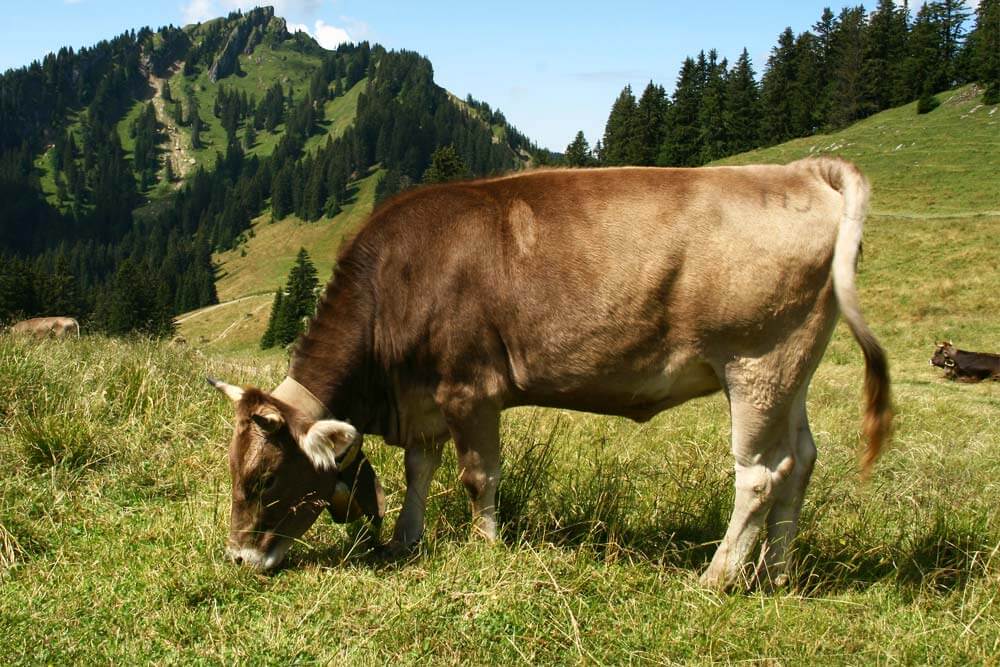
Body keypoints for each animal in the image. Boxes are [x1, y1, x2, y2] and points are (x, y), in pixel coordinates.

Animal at [205, 158, 892, 596]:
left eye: (263, 479)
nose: (238, 557)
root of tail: (800, 170)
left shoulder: (470, 389)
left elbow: (478, 475)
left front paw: (485, 547)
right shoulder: (423, 398)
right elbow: (419, 468)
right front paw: (405, 539)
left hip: (756, 364)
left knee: (759, 474)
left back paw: (718, 578)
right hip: (791, 371)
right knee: (800, 460)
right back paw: (776, 574)